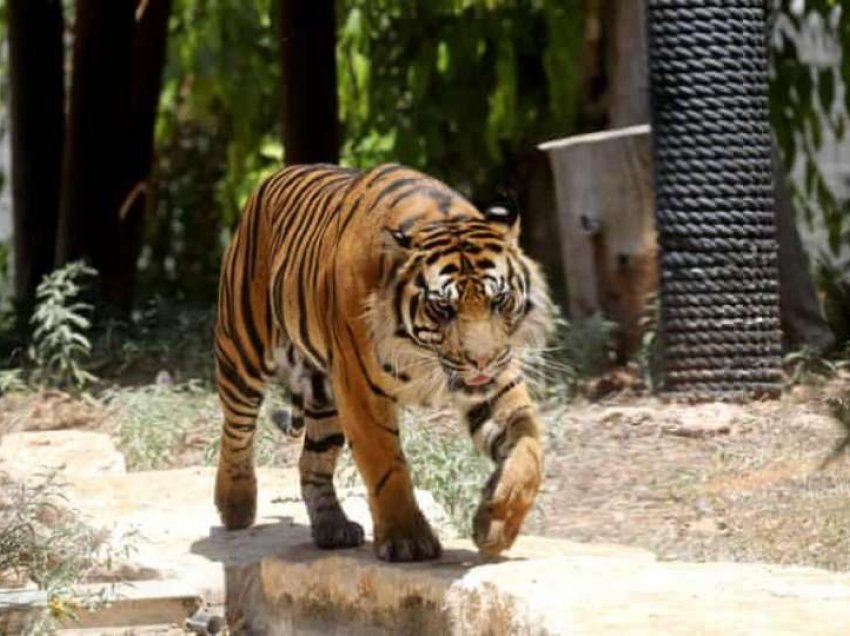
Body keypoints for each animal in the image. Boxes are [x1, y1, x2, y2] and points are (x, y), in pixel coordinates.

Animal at [214, 163, 548, 560]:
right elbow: (386, 465)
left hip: (324, 395)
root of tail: (274, 176)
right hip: (242, 351)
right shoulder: (360, 389)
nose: (482, 361)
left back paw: (333, 528)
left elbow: (528, 452)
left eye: (499, 301)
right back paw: (235, 505)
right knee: (236, 429)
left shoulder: (497, 383)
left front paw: (495, 525)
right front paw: (408, 541)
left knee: (311, 461)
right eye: (443, 308)